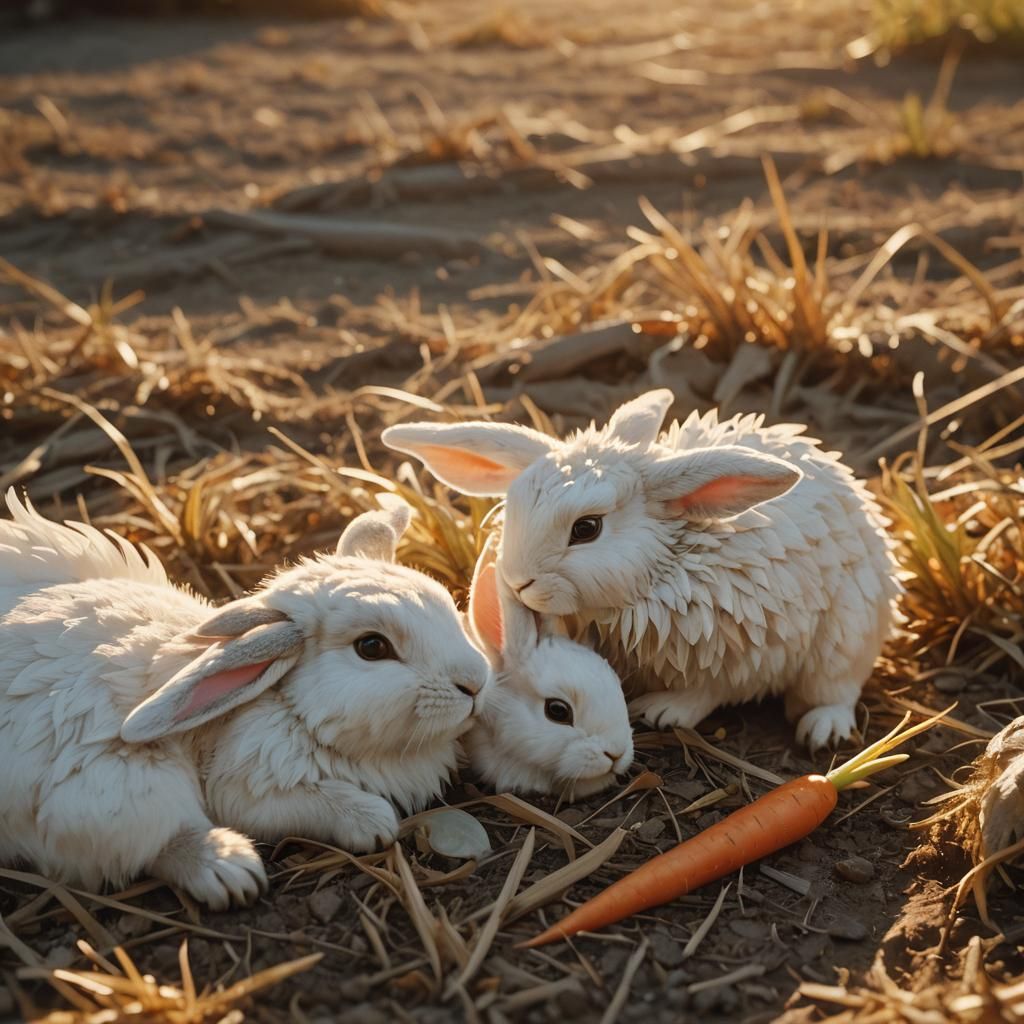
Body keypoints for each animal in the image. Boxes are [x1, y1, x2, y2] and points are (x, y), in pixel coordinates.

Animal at [0, 490, 489, 909]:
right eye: (372, 647)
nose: (475, 683)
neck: (292, 708)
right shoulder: (249, 788)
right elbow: (313, 803)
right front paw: (371, 821)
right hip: (118, 784)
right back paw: (229, 870)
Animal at [382, 388, 900, 751]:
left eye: (586, 528)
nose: (517, 582)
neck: (667, 567)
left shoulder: (742, 652)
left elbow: (708, 690)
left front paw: (660, 712)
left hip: (845, 636)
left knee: (836, 688)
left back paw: (823, 729)